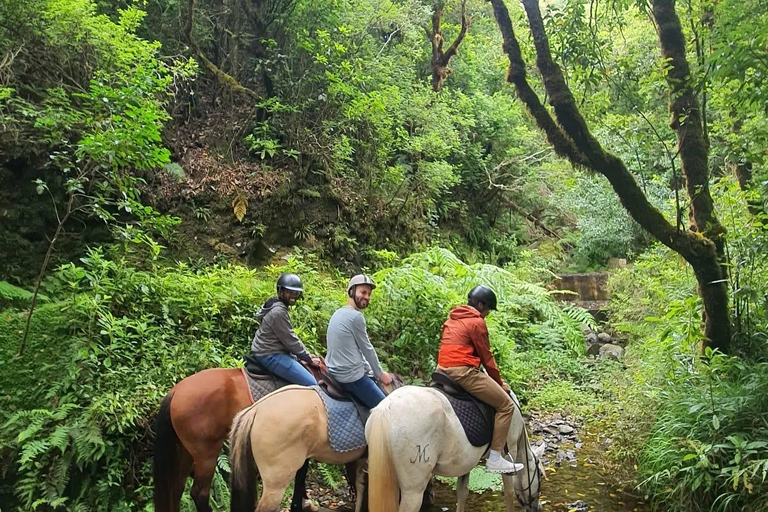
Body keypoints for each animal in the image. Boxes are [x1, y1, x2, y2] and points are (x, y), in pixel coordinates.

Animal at [153, 366, 324, 512]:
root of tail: (176, 391)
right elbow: (301, 474)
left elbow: (301, 473)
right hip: (206, 454)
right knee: (199, 493)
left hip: (186, 451)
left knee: (176, 488)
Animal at [368, 386, 544, 512]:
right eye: (540, 474)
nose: (536, 508)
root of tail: (386, 408)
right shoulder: (508, 453)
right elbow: (509, 493)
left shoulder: (466, 461)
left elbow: (462, 493)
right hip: (413, 491)